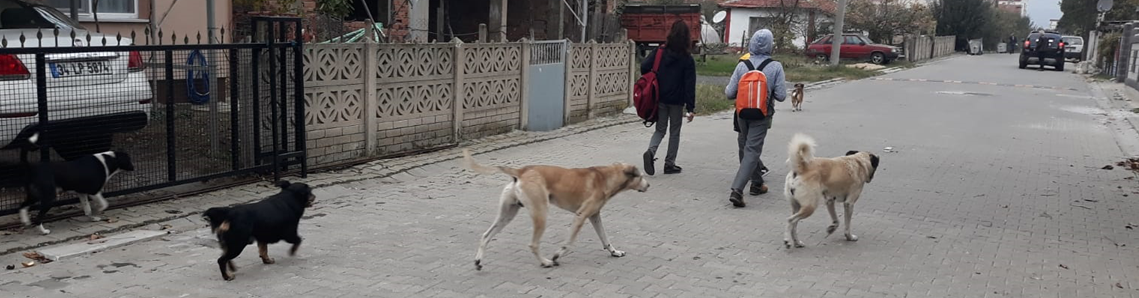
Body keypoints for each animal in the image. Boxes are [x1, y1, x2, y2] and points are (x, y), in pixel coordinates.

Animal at [462, 149, 651, 269]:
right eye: (641, 176)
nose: (648, 185)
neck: (606, 177)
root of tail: (522, 171)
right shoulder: (581, 216)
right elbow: (568, 243)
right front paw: (557, 255)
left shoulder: (594, 216)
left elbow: (605, 238)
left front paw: (614, 252)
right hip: (541, 215)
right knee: (533, 244)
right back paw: (546, 262)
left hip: (507, 214)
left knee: (486, 235)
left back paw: (478, 261)